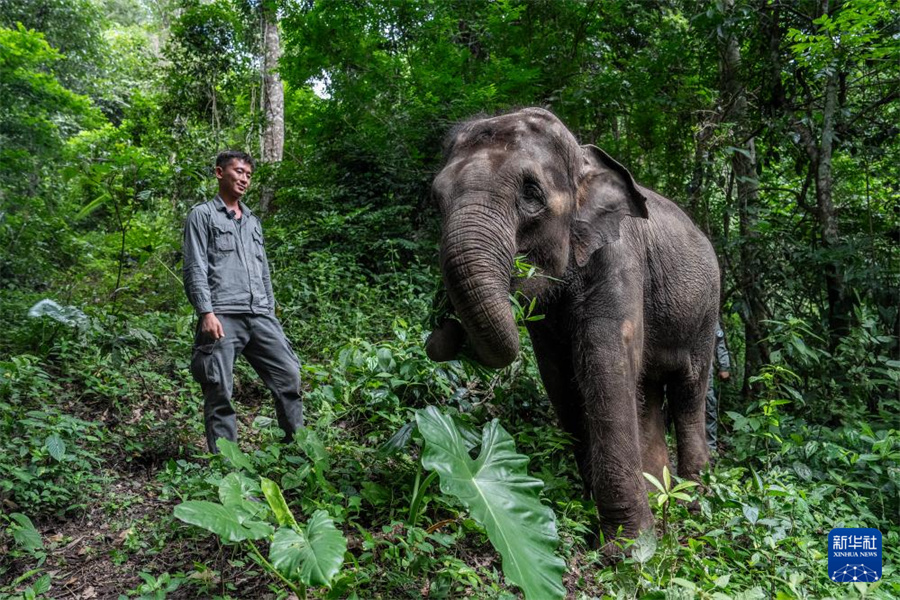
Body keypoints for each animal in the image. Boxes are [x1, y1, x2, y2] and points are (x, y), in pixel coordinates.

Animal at [426, 106, 720, 544]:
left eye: (532, 194)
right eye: (437, 199)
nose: (442, 322)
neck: (582, 159)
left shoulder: (620, 259)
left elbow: (604, 364)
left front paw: (629, 547)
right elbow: (560, 377)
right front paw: (602, 513)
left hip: (707, 312)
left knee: (688, 392)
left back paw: (694, 497)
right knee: (649, 392)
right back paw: (661, 493)